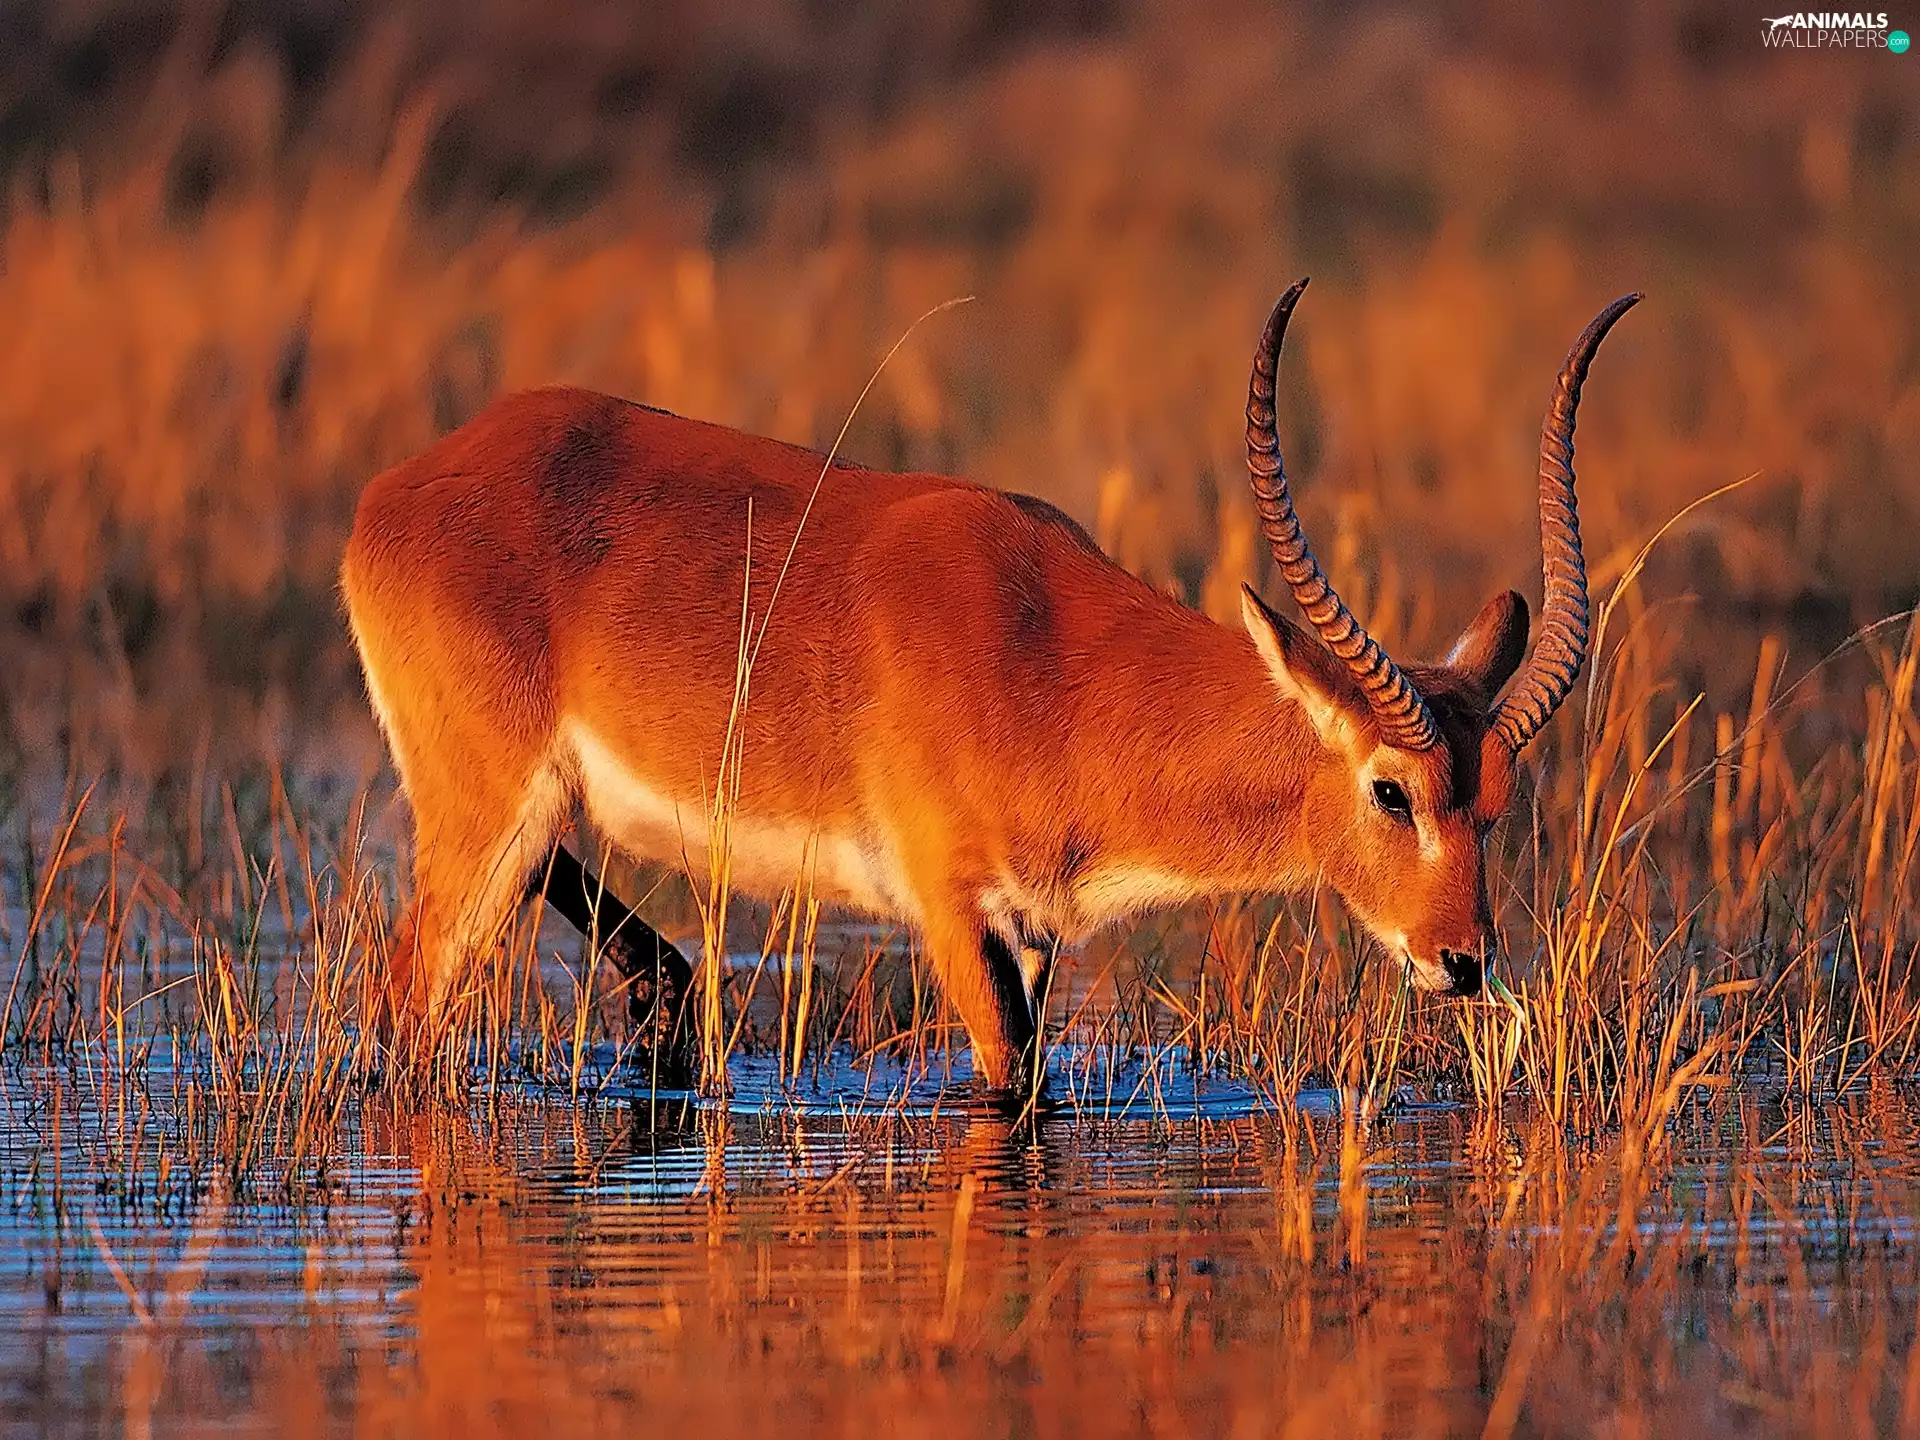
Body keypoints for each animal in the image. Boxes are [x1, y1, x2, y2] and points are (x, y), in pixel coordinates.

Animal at [342, 279, 1638, 1092]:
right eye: (1390, 790)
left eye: (1496, 804)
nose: (1462, 960)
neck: (1047, 660)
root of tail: (396, 490)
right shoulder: (950, 909)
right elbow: (1003, 1081)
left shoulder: (1032, 930)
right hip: (479, 820)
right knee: (400, 1012)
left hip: (527, 814)